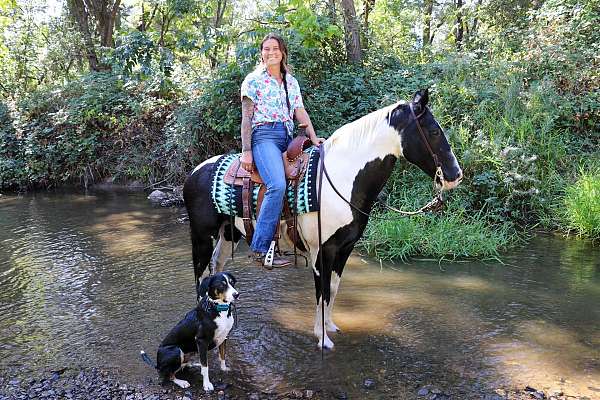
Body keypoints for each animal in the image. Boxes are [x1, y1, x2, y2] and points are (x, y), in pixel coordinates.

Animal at [183, 88, 464, 350]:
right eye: (434, 131)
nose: (456, 175)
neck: (341, 178)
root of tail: (194, 172)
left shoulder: (345, 248)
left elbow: (334, 289)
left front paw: (330, 326)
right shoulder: (323, 250)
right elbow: (322, 290)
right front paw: (322, 338)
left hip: (229, 234)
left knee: (216, 268)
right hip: (201, 237)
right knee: (199, 276)